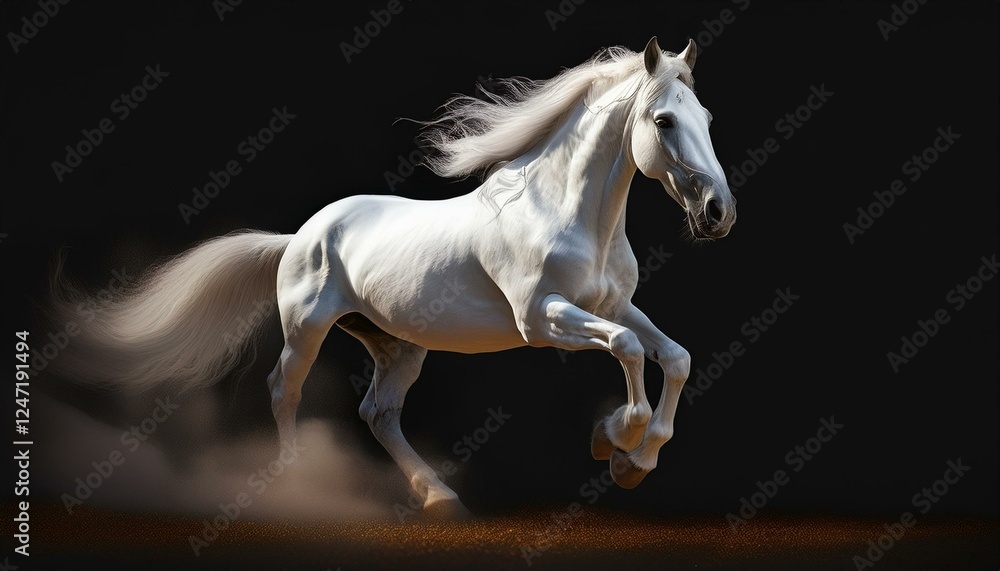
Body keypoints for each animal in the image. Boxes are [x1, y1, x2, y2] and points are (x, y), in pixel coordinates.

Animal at [50, 37, 736, 517]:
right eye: (664, 121)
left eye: (706, 116)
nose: (718, 213)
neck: (567, 215)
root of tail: (299, 236)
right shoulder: (542, 318)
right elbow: (629, 350)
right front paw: (613, 439)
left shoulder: (614, 304)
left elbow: (673, 357)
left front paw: (634, 460)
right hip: (308, 328)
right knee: (283, 389)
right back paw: (294, 487)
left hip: (397, 344)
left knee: (378, 411)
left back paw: (440, 500)